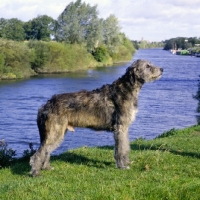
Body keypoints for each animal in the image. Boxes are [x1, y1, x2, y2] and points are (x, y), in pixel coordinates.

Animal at [29, 59, 162, 177]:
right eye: (147, 66)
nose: (162, 69)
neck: (127, 88)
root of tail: (45, 105)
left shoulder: (124, 129)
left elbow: (125, 147)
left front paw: (126, 162)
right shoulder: (120, 127)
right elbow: (120, 148)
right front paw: (122, 166)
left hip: (58, 132)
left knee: (47, 150)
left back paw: (46, 167)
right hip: (55, 132)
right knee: (39, 153)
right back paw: (36, 173)